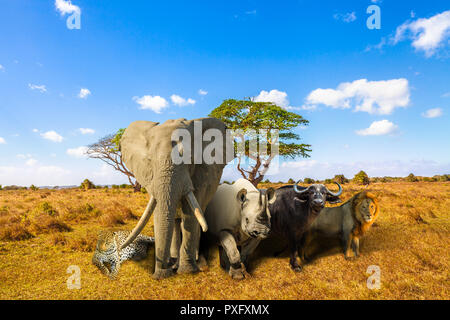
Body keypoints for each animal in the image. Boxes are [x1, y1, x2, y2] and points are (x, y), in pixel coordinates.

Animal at [118, 118, 234, 280]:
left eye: (190, 159)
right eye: (150, 160)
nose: (158, 276)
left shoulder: (201, 176)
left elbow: (190, 215)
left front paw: (187, 271)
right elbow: (158, 213)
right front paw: (165, 272)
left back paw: (197, 262)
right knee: (175, 222)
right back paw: (174, 263)